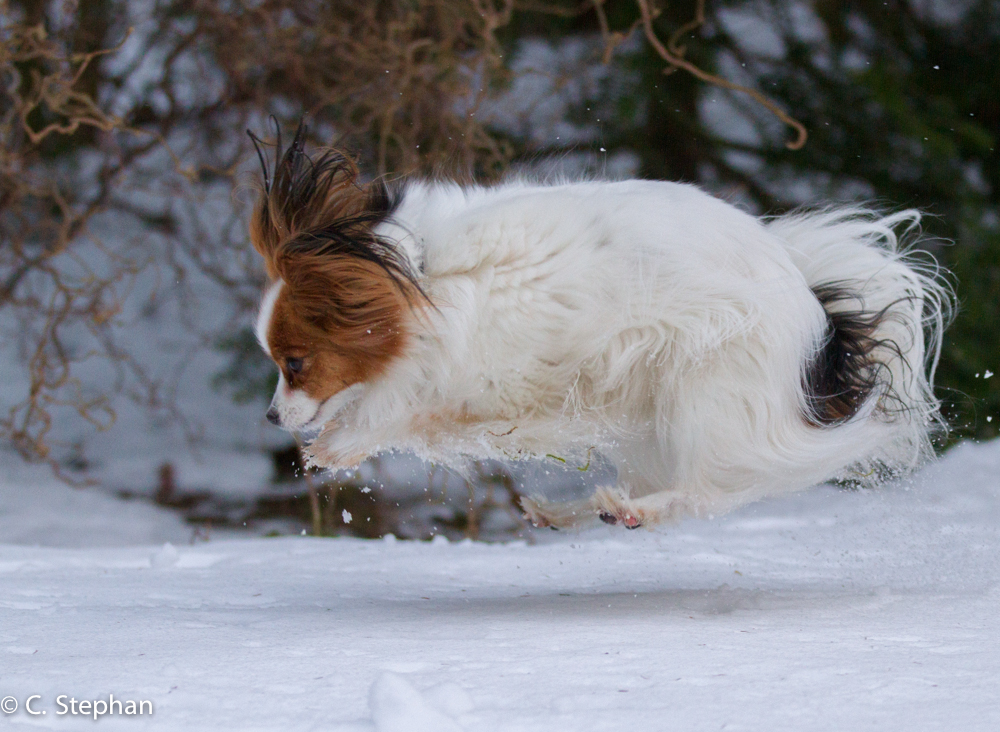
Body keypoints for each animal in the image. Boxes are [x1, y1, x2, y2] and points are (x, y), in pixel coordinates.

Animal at [246, 124, 948, 528]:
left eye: (295, 364)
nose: (273, 418)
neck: (422, 279)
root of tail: (816, 314)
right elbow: (416, 414)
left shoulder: (484, 375)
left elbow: (396, 412)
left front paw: (336, 446)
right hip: (652, 420)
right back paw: (570, 511)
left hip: (705, 398)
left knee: (709, 490)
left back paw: (633, 510)